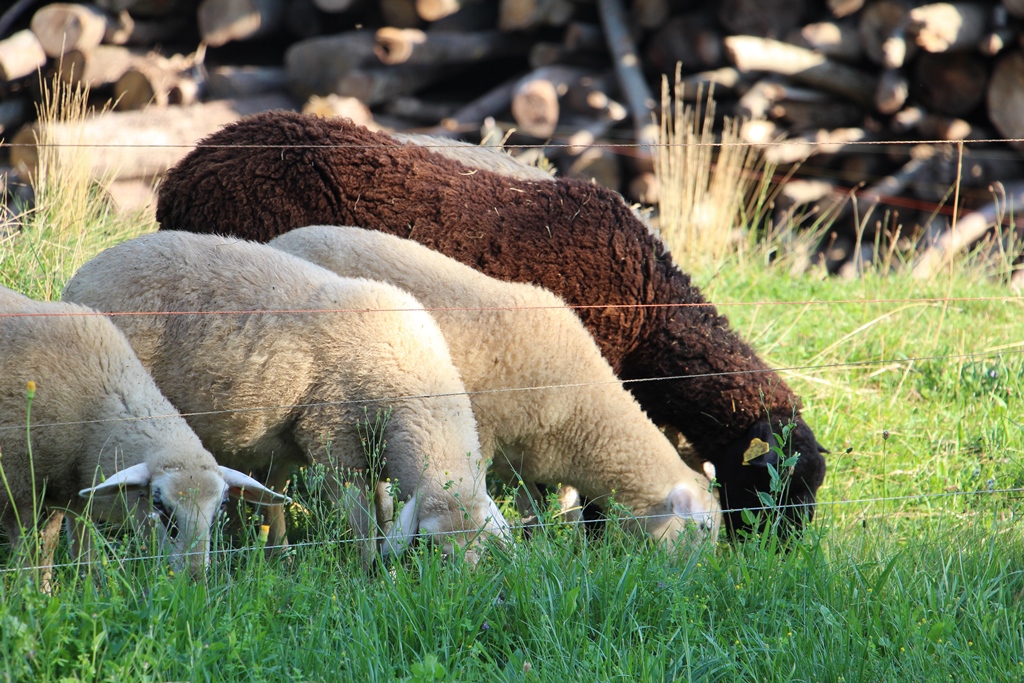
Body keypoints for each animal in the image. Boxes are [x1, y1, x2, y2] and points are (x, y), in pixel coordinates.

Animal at [0, 286, 288, 585]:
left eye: (222, 506)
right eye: (159, 504)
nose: (194, 579)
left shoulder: (71, 496)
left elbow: (77, 550)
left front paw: (84, 585)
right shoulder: (18, 494)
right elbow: (31, 558)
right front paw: (34, 592)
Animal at [61, 229, 509, 561]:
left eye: (482, 545)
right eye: (433, 546)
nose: (461, 589)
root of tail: (82, 276)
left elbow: (378, 510)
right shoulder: (336, 446)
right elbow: (363, 519)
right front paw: (368, 569)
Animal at [270, 227, 720, 548]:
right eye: (701, 531)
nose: (704, 575)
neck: (583, 413)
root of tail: (281, 239)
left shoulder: (524, 457)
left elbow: (543, 509)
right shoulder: (482, 439)